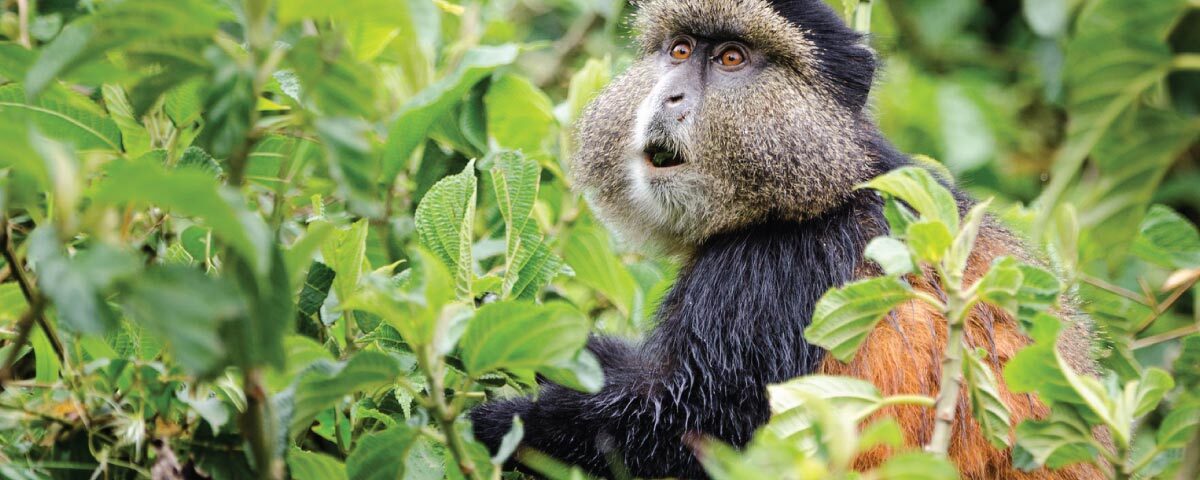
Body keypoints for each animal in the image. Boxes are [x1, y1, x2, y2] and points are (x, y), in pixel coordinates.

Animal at [469, 1, 1102, 478]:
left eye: (731, 58)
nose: (669, 96)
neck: (825, 186)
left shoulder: (776, 274)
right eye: (680, 50)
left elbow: (684, 430)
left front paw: (498, 424)